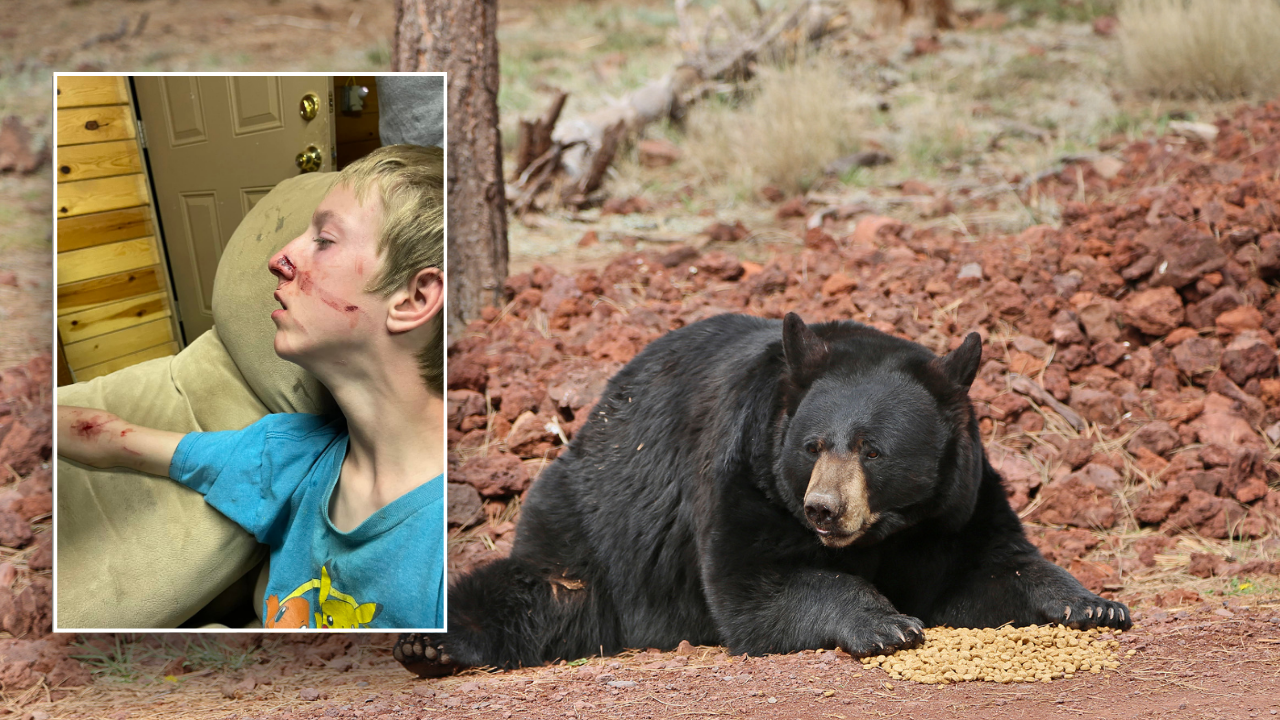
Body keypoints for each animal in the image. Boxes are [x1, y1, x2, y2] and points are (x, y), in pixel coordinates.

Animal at [396, 313, 1129, 676]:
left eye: (872, 449)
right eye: (812, 445)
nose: (823, 510)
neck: (885, 532)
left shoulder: (955, 502)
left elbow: (993, 567)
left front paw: (1097, 605)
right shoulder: (744, 479)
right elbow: (758, 587)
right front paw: (886, 621)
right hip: (589, 524)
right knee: (546, 592)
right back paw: (430, 645)